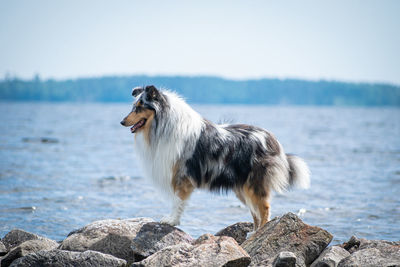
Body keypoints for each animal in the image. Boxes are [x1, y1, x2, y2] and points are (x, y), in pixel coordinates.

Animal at [120, 85, 310, 232]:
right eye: (133, 106)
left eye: (139, 107)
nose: (122, 122)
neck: (163, 125)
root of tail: (273, 140)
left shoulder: (181, 177)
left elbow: (177, 201)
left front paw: (171, 220)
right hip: (243, 188)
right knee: (255, 212)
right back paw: (253, 234)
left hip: (254, 184)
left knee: (264, 210)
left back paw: (260, 233)